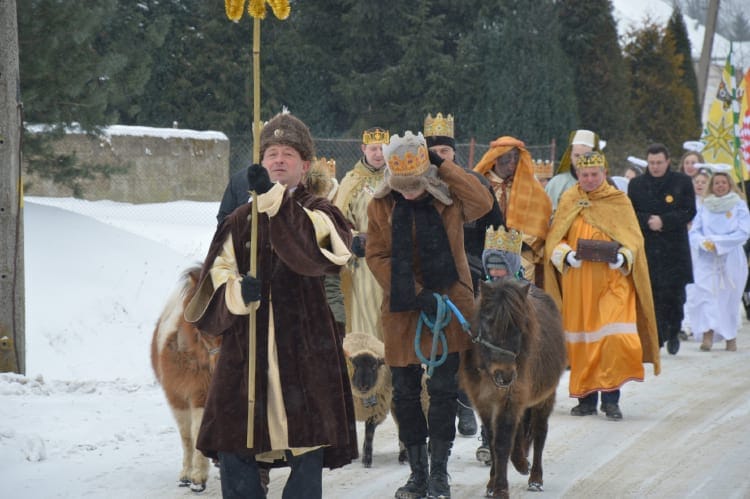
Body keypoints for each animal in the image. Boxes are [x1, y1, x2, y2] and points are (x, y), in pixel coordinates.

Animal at [462, 280, 568, 498]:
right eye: (489, 323)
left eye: (521, 326)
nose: (506, 375)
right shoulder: (484, 403)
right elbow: (493, 440)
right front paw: (492, 484)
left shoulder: (510, 399)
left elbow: (502, 443)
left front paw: (501, 488)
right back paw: (521, 461)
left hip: (544, 398)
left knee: (539, 432)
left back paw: (535, 477)